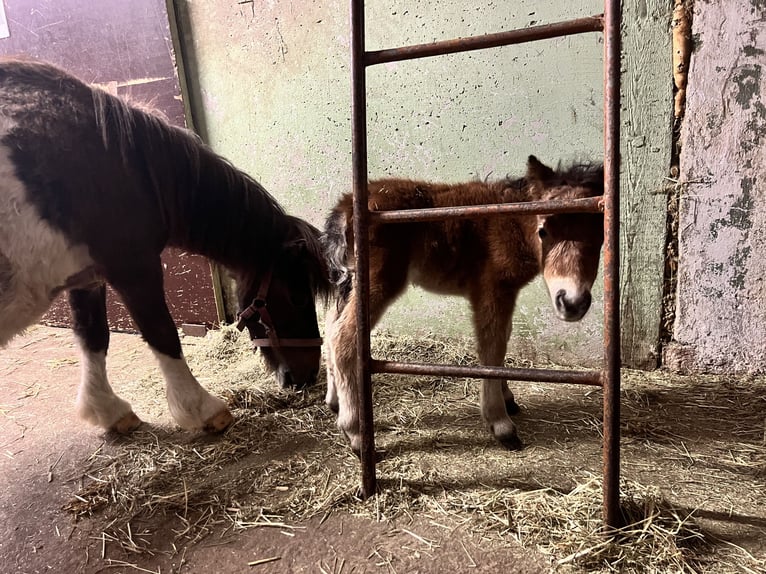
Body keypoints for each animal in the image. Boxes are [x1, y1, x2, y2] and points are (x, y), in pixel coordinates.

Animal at [0, 58, 330, 434]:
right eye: (298, 296)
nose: (307, 376)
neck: (123, 166)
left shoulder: (87, 277)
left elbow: (93, 336)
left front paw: (108, 410)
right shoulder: (135, 268)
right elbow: (163, 334)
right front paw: (203, 410)